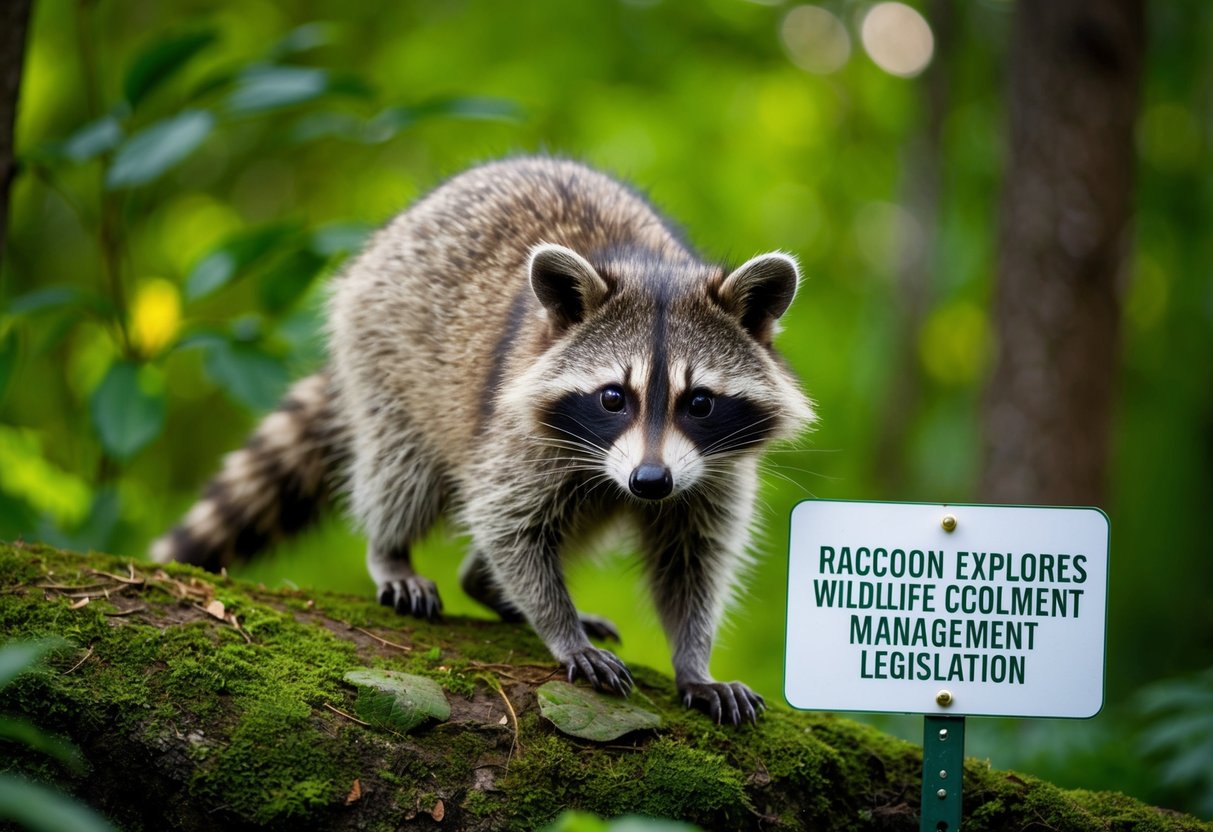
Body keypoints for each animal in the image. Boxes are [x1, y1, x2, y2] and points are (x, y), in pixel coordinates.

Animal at [152, 157, 814, 725]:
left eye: (699, 402)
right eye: (612, 397)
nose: (650, 482)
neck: (652, 267)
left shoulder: (712, 469)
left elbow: (693, 557)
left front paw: (693, 660)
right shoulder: (520, 429)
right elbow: (509, 524)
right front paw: (559, 627)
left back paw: (484, 582)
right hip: (384, 349)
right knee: (402, 471)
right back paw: (393, 550)